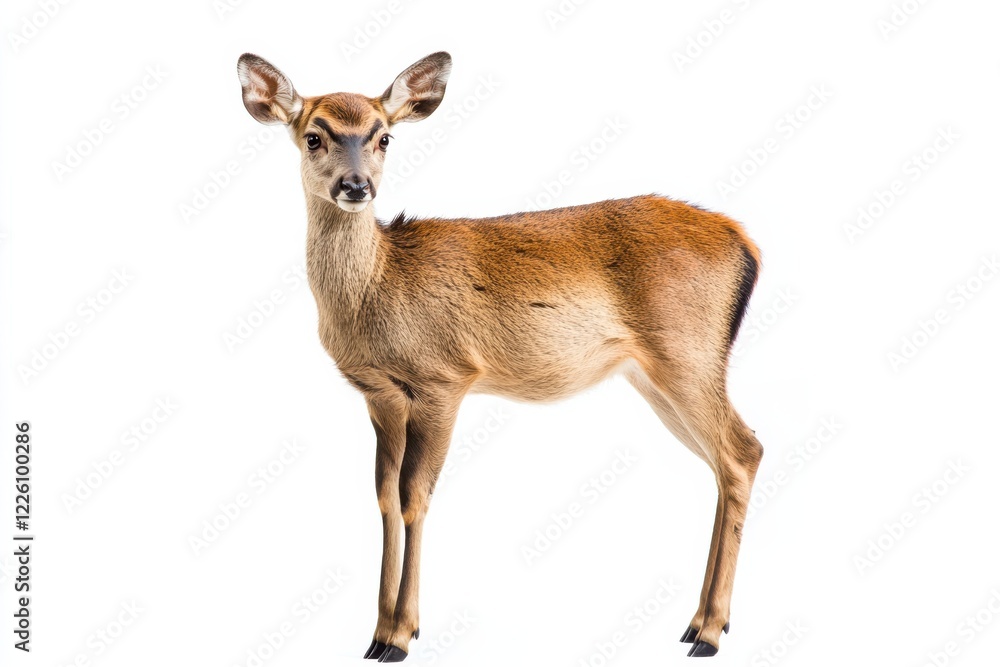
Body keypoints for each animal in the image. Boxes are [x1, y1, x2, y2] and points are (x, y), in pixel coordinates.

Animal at [236, 50, 764, 661]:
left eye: (383, 136)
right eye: (314, 136)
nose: (356, 185)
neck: (378, 289)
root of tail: (748, 244)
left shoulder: (445, 378)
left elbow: (415, 496)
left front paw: (401, 636)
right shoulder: (381, 395)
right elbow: (384, 497)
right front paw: (376, 633)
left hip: (688, 353)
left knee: (743, 451)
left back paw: (708, 632)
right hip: (656, 375)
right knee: (724, 463)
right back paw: (700, 623)